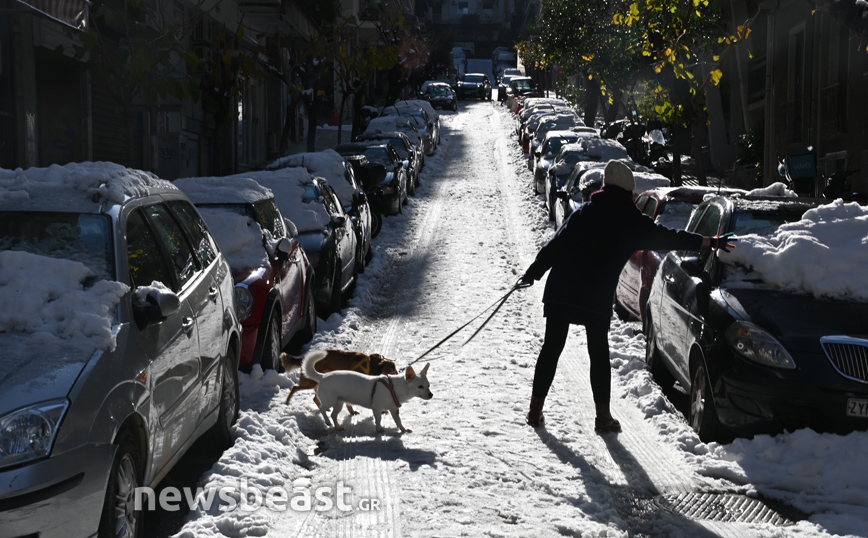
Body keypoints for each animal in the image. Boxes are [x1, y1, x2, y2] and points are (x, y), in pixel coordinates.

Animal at [302, 348, 434, 432]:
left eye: (428, 385)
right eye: (420, 387)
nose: (431, 395)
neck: (394, 387)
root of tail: (322, 376)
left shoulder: (394, 409)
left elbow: (398, 421)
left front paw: (403, 430)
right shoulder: (376, 407)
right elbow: (378, 419)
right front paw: (379, 429)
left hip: (339, 402)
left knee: (334, 415)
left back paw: (338, 426)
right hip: (330, 400)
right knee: (322, 408)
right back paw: (327, 421)